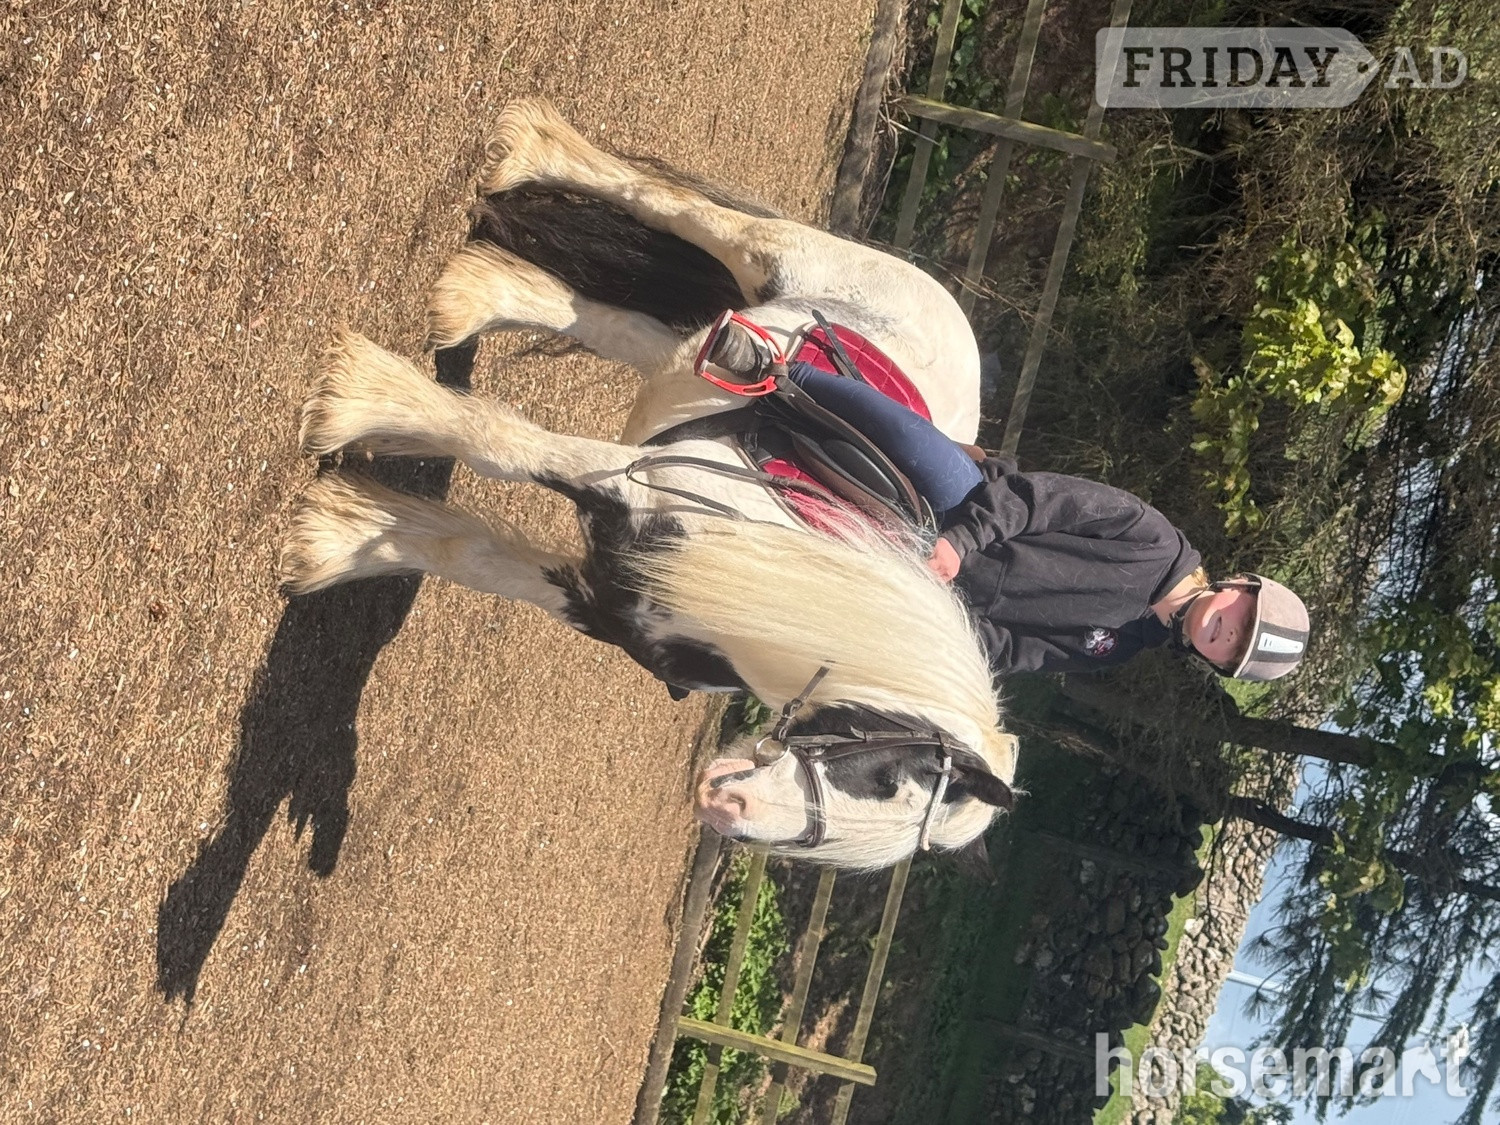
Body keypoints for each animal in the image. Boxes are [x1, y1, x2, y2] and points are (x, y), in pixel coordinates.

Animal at [279, 99, 1016, 871]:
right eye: (884, 773)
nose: (728, 809)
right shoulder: (630, 488)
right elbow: (504, 447)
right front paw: (359, 402)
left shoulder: (603, 602)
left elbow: (471, 557)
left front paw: (335, 537)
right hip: (762, 258)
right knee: (672, 205)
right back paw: (528, 150)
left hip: (695, 350)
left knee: (607, 323)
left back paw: (474, 294)